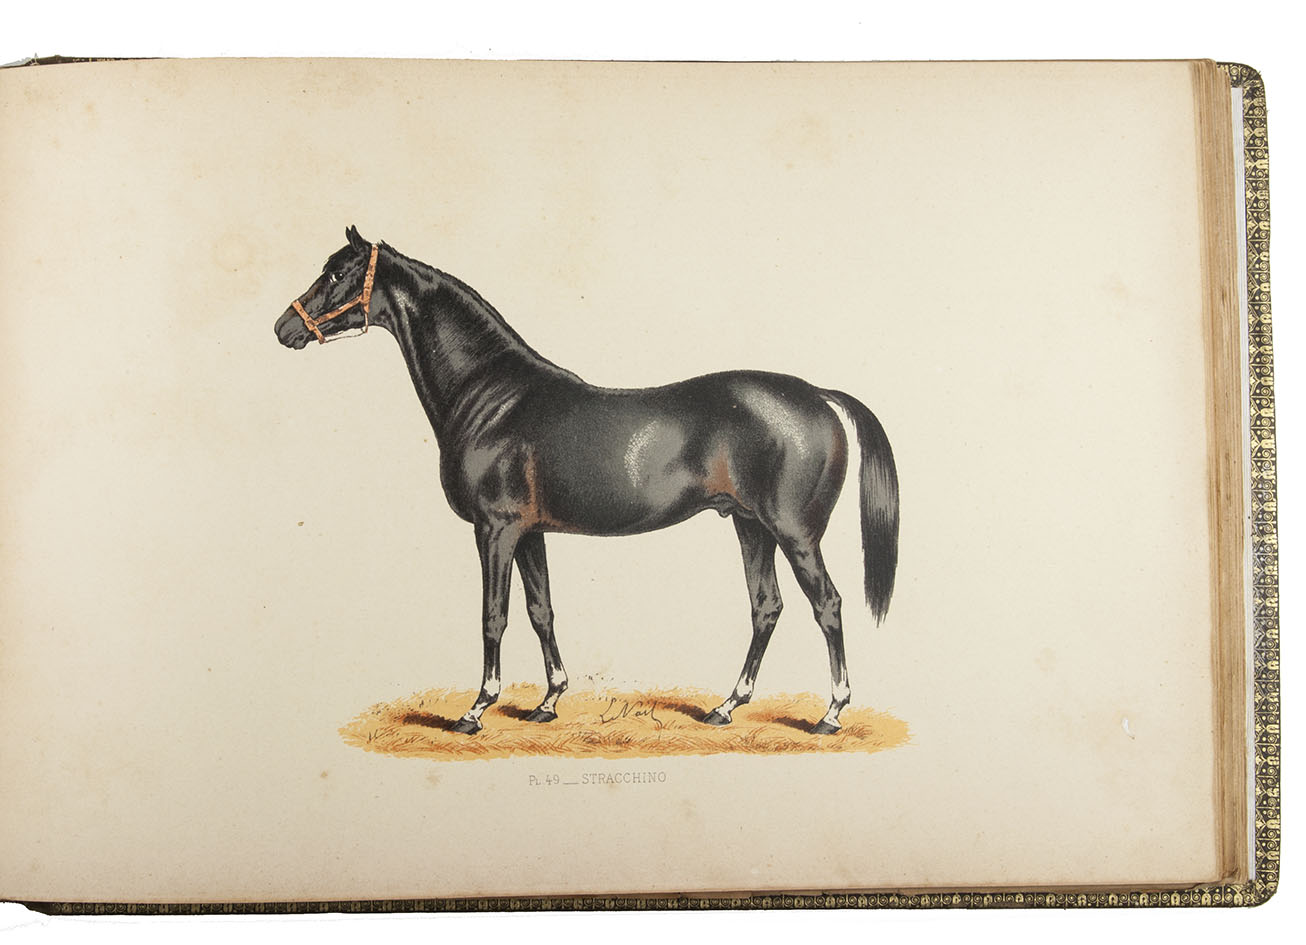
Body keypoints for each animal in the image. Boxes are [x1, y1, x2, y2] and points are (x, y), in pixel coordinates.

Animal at [274, 227, 899, 735]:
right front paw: (548, 702)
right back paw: (725, 707)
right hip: (750, 526)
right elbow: (541, 611)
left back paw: (830, 714)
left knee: (828, 605)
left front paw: (477, 709)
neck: (493, 396)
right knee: (766, 607)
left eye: (337, 273)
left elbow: (494, 616)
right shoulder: (528, 533)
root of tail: (816, 394)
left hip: (794, 534)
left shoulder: (495, 530)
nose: (283, 327)